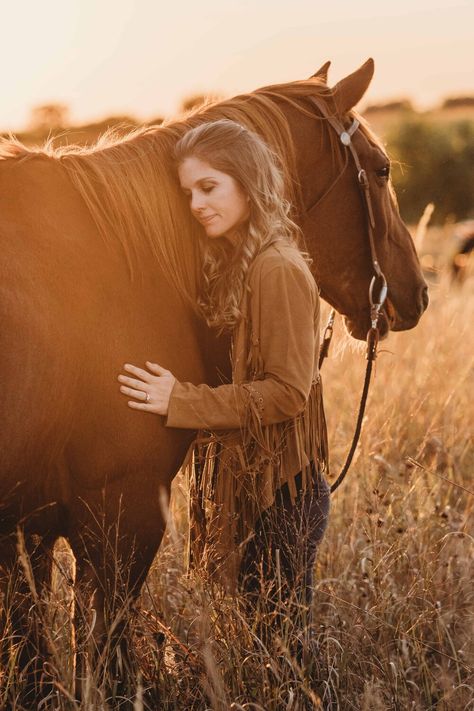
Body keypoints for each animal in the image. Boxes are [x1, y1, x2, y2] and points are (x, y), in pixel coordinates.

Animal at [0, 59, 430, 700]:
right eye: (381, 170)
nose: (417, 293)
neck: (122, 267)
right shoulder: (122, 513)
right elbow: (100, 661)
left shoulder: (26, 530)